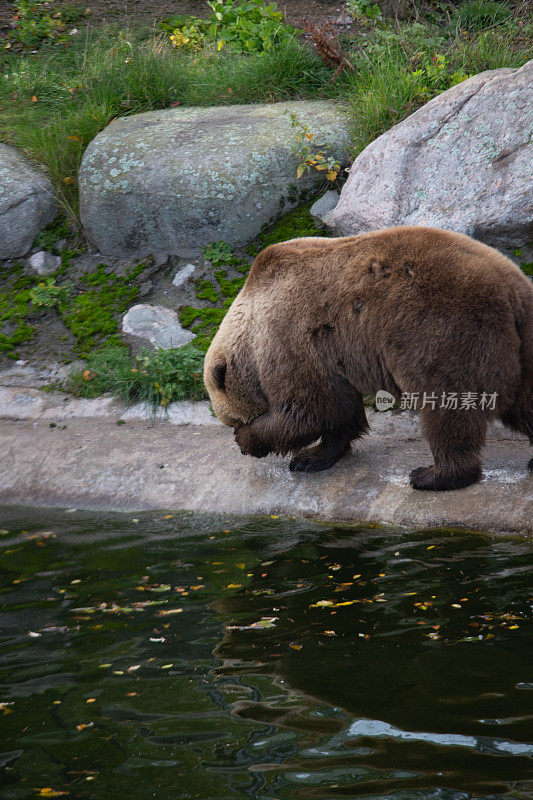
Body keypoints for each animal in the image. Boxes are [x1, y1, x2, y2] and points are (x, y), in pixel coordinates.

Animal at [203, 222, 532, 490]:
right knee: (524, 403)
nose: (236, 433)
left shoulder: (291, 338)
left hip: (445, 331)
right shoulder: (328, 352)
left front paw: (255, 441)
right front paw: (312, 456)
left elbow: (309, 408)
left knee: (448, 406)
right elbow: (339, 411)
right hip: (521, 344)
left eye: (232, 420)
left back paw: (433, 475)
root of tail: (510, 287)